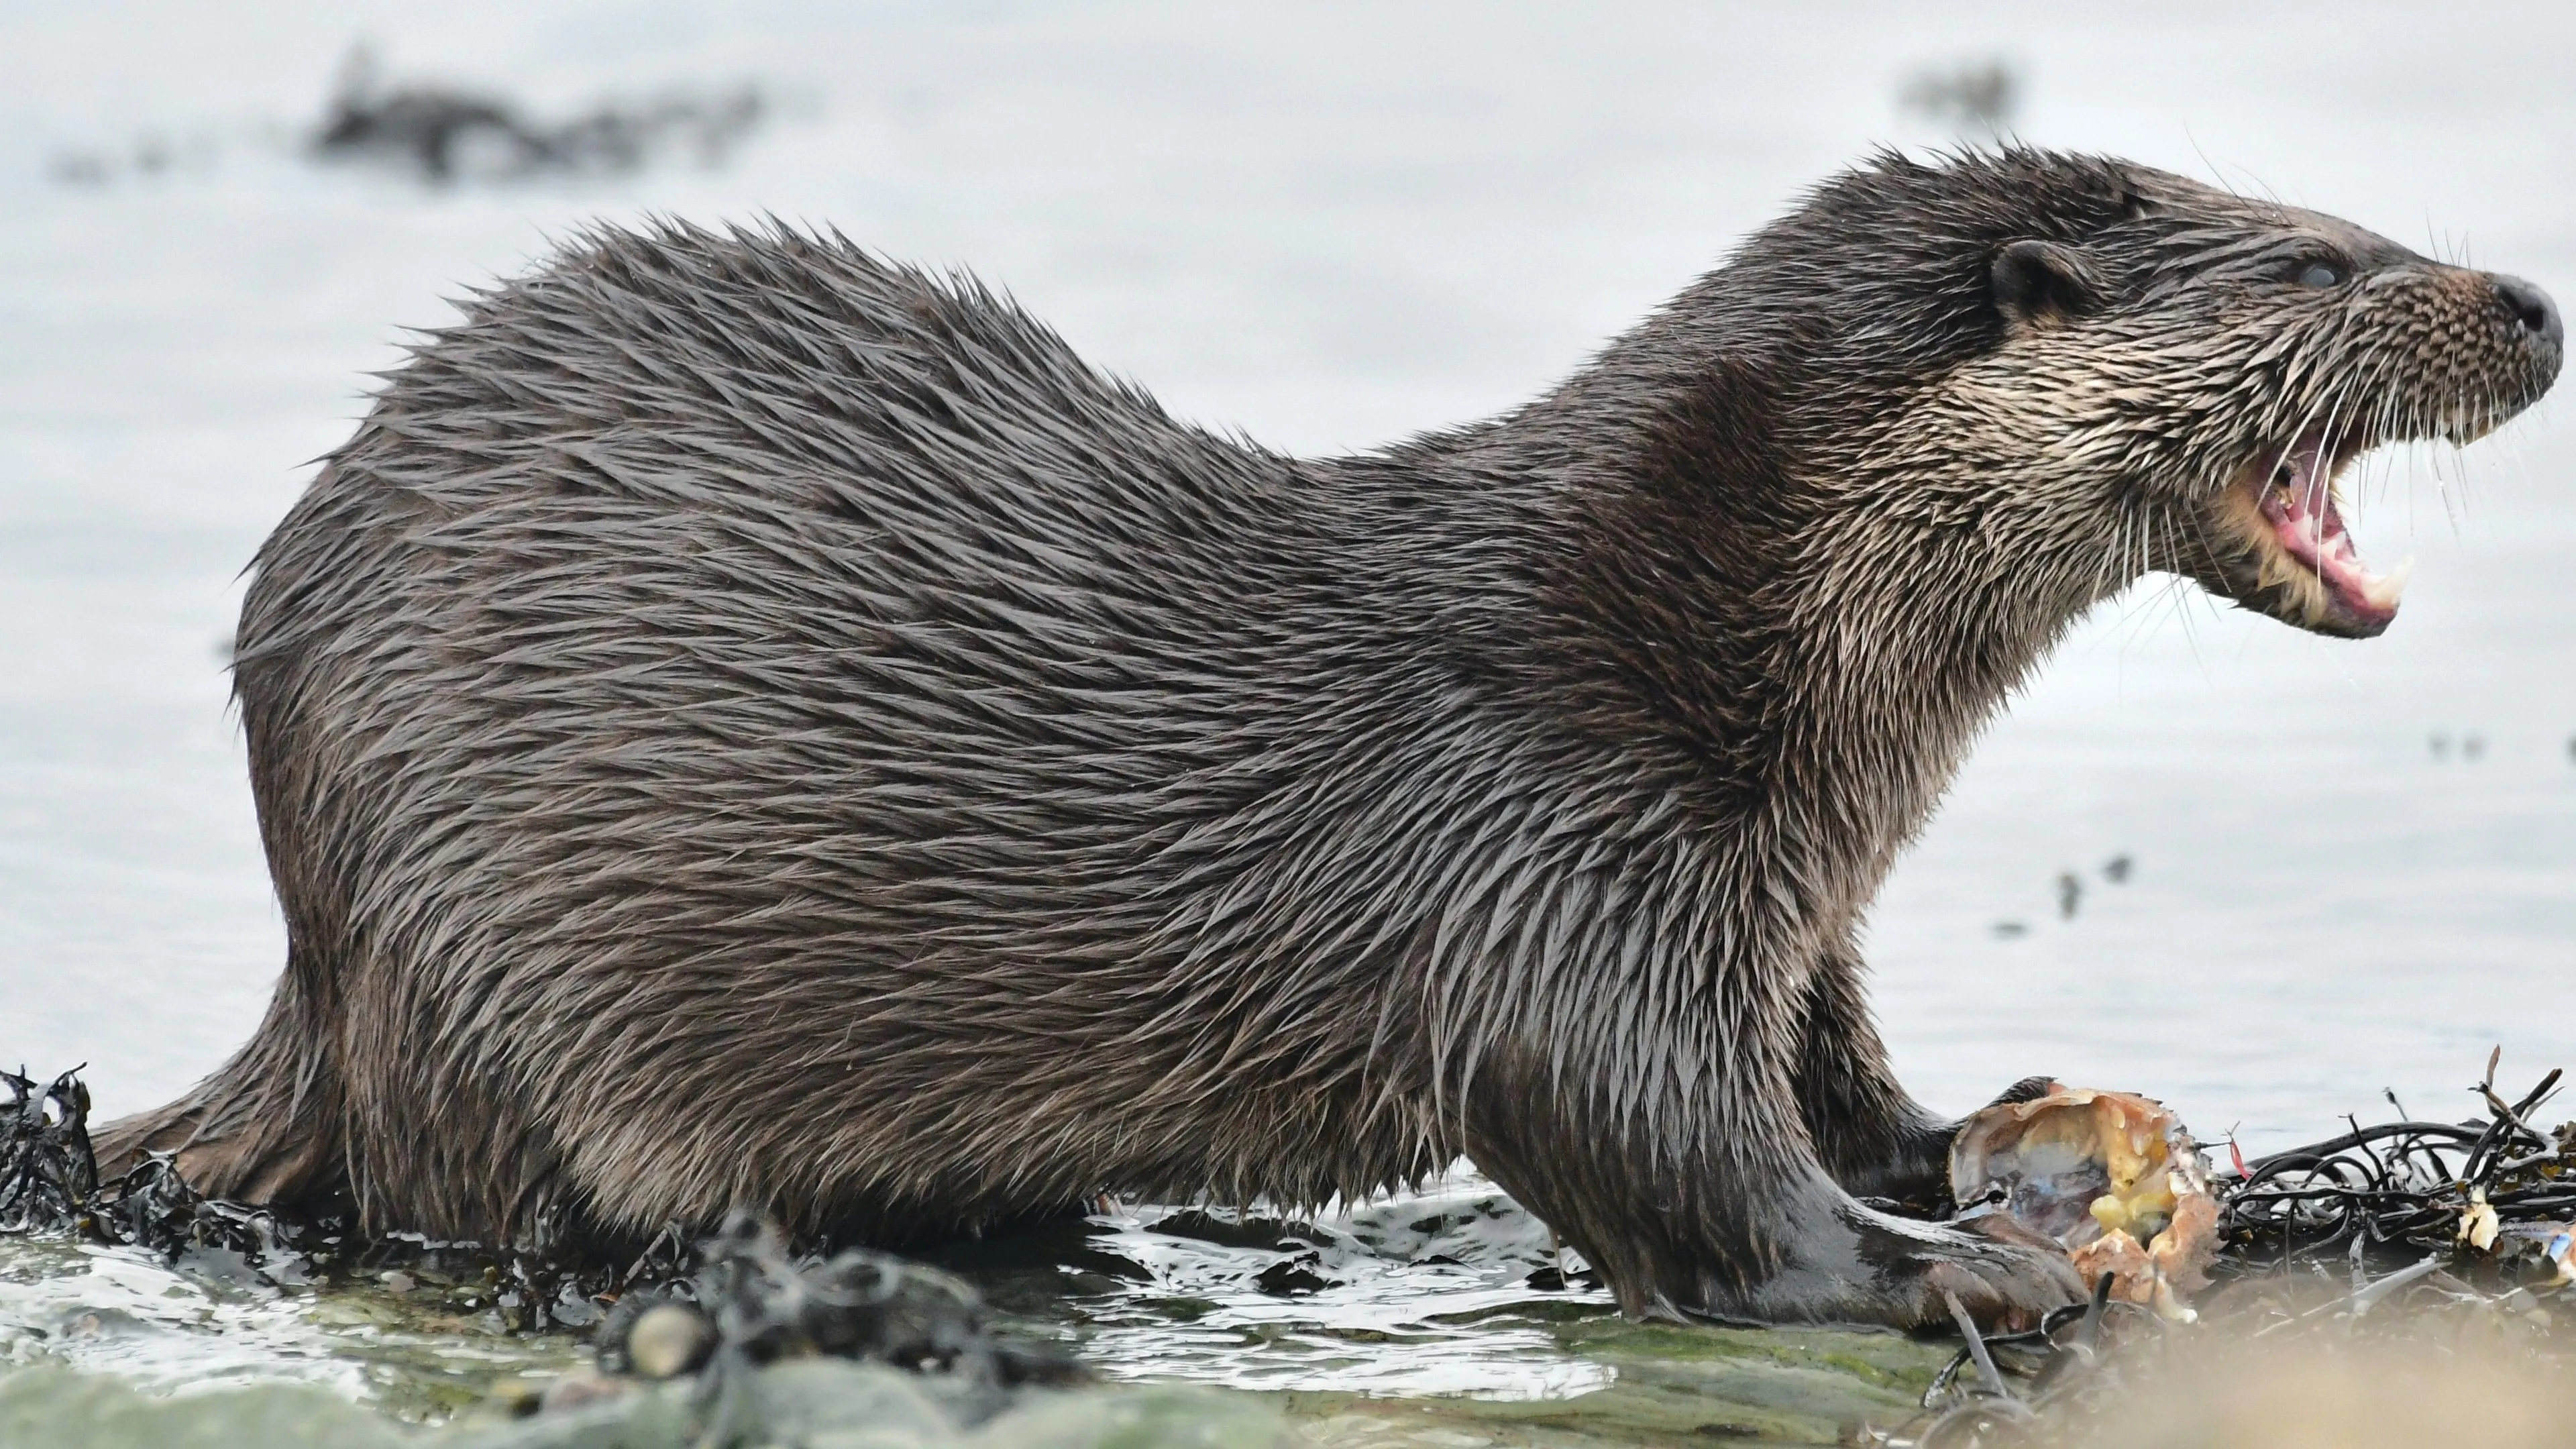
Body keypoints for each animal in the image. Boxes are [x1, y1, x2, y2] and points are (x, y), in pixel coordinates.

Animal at [98, 149, 2560, 1330]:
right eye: (2324, 266)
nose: (2532, 298)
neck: (1704, 657)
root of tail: (313, 933)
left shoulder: (1777, 908)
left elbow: (1839, 1074)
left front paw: (1988, 1155)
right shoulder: (1563, 876)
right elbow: (1689, 1181)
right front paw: (1979, 1275)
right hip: (466, 977)